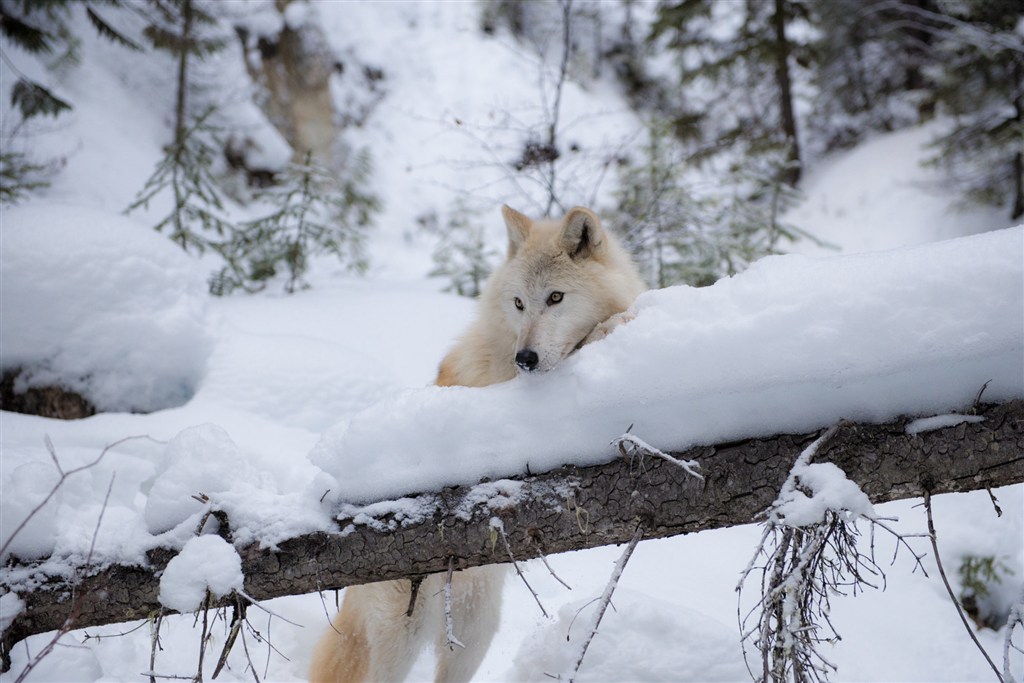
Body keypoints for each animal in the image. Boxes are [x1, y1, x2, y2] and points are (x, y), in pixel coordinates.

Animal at [307, 204, 647, 683]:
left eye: (555, 298)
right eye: (519, 303)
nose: (526, 359)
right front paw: (620, 322)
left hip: (474, 630)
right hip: (400, 635)